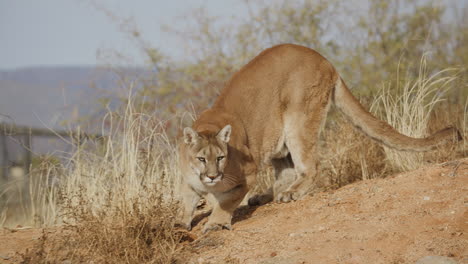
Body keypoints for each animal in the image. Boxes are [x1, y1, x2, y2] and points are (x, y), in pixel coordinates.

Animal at [179, 43, 460, 233]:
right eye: (201, 159)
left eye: (221, 158)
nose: (212, 176)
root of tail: (325, 60)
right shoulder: (190, 182)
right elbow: (187, 198)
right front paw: (181, 223)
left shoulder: (246, 173)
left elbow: (226, 202)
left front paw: (215, 224)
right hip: (278, 135)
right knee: (287, 170)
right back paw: (267, 195)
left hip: (299, 118)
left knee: (310, 165)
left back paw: (290, 193)